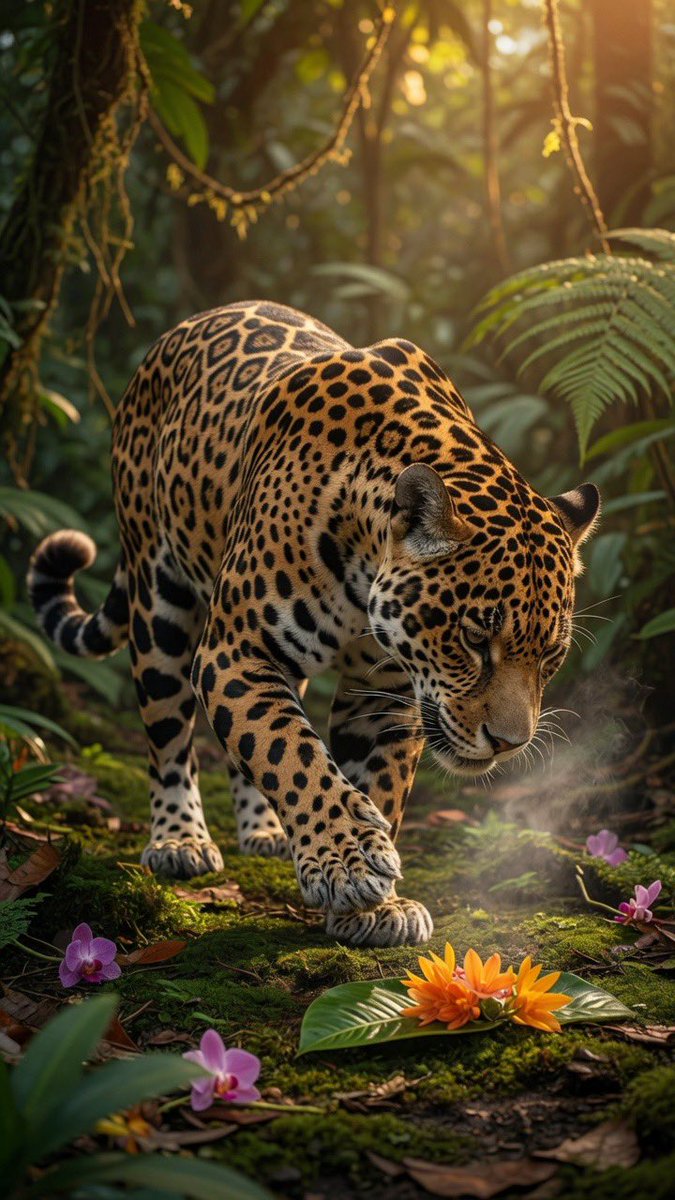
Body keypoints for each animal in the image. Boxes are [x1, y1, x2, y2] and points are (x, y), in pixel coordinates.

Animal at [28, 300, 600, 947]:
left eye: (551, 656)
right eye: (475, 639)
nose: (509, 744)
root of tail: (186, 325)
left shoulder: (385, 690)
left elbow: (360, 778)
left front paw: (373, 905)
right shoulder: (235, 650)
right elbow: (289, 750)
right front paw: (349, 860)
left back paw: (266, 833)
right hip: (158, 600)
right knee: (169, 732)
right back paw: (179, 839)